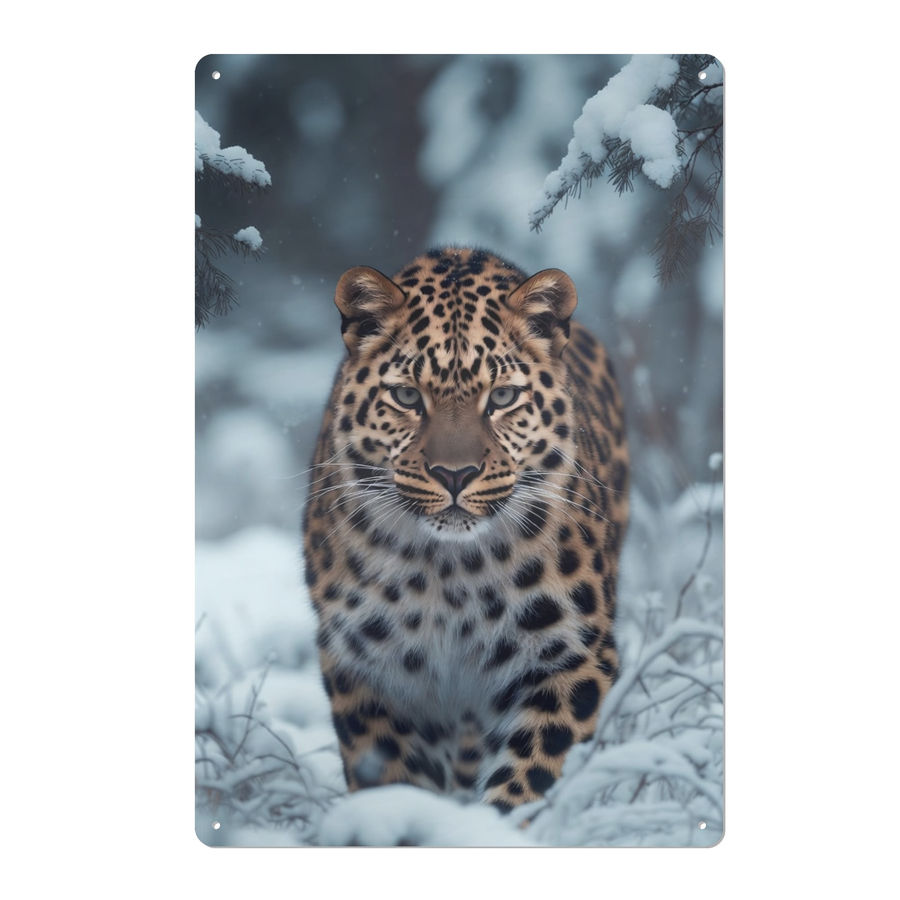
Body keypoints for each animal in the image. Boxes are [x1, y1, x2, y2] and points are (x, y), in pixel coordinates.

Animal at [302, 247, 628, 813]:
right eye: (407, 396)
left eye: (502, 397)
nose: (455, 475)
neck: (451, 571)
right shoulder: (369, 669)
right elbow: (394, 779)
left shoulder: (573, 656)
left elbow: (533, 777)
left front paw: (499, 824)